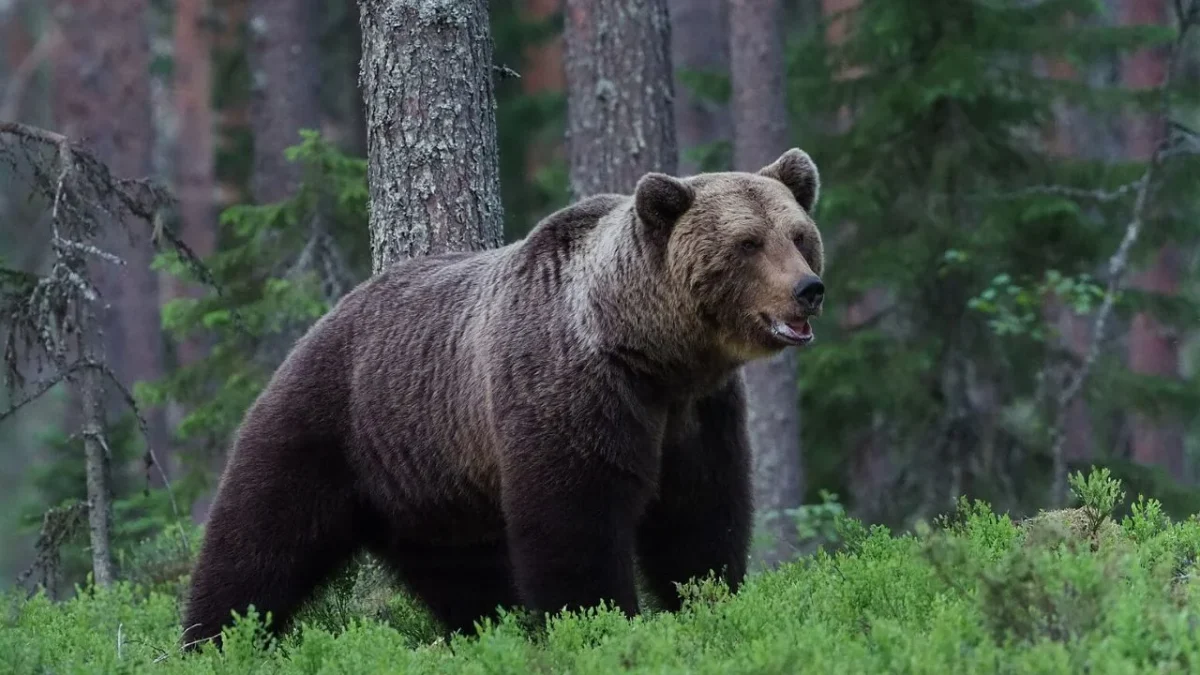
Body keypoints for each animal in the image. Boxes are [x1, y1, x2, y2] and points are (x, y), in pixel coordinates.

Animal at [180, 148, 827, 650]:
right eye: (747, 243)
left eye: (799, 236)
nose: (809, 289)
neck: (652, 353)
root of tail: (325, 318)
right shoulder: (574, 391)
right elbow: (576, 522)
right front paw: (600, 623)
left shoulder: (698, 414)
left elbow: (700, 517)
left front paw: (708, 602)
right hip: (331, 422)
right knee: (259, 539)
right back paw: (214, 639)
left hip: (428, 483)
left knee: (464, 572)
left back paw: (490, 629)